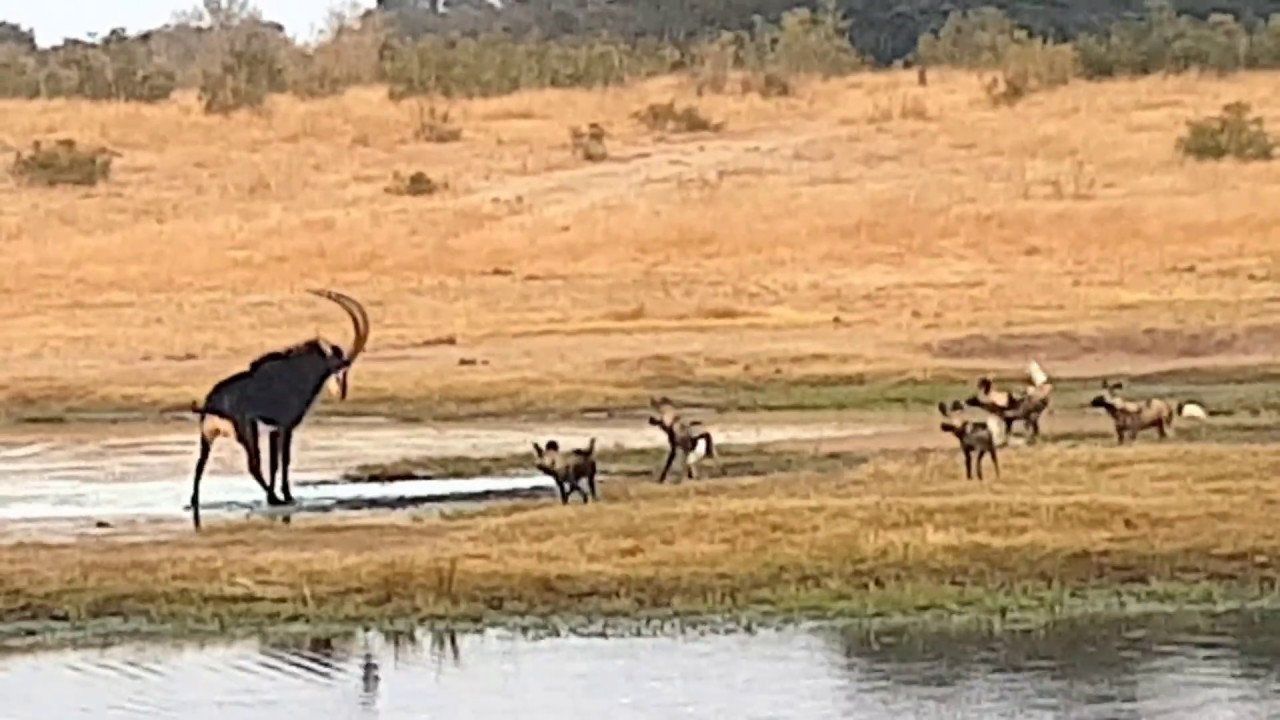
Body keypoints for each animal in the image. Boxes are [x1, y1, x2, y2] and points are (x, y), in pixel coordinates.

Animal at [187, 289, 370, 530]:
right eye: (340, 363)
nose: (342, 392)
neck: (297, 372)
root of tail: (211, 402)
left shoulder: (274, 430)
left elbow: (274, 463)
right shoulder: (286, 426)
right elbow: (284, 461)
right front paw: (287, 496)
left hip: (208, 437)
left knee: (200, 466)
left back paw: (194, 502)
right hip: (248, 430)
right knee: (253, 465)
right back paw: (273, 498)